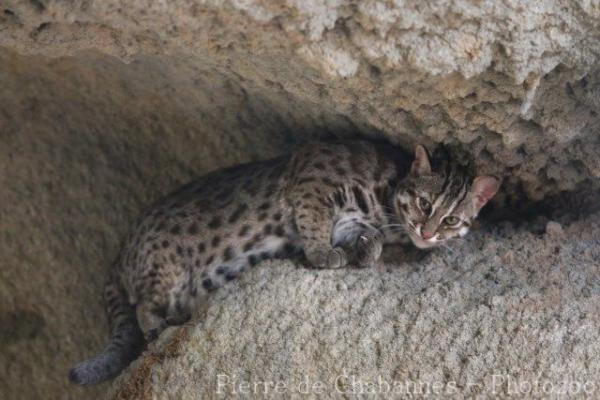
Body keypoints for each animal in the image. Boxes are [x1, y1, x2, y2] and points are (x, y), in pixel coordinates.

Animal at [68, 141, 500, 384]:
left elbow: (365, 238)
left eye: (451, 220)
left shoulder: (354, 221)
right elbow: (314, 222)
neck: (386, 199)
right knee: (143, 306)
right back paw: (161, 324)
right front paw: (323, 253)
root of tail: (121, 250)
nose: (427, 233)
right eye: (425, 204)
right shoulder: (312, 182)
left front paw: (366, 251)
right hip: (166, 266)